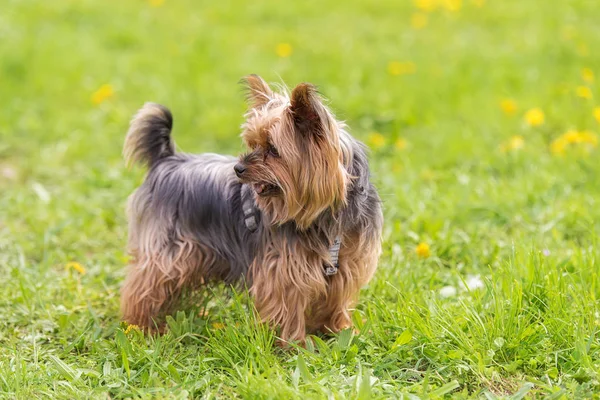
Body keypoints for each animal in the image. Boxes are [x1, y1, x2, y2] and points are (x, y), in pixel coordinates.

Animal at [121, 76, 382, 344]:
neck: (325, 214)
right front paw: (293, 344)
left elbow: (336, 300)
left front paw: (339, 332)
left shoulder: (346, 264)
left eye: (273, 150)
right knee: (144, 285)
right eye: (253, 143)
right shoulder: (284, 269)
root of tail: (167, 159)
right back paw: (142, 327)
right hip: (170, 251)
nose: (238, 168)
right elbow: (287, 308)